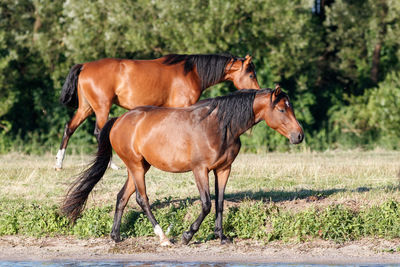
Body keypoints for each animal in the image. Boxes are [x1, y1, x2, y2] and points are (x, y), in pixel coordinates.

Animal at [57, 54, 262, 170]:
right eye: (251, 74)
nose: (258, 91)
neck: (191, 71)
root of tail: (85, 65)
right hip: (101, 107)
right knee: (99, 132)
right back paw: (111, 165)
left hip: (86, 107)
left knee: (69, 128)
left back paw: (59, 163)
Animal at [61, 86, 304, 247]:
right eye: (282, 110)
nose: (299, 136)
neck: (220, 125)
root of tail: (118, 121)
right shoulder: (200, 170)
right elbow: (206, 204)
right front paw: (188, 236)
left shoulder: (224, 169)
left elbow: (220, 203)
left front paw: (221, 236)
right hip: (137, 167)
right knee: (142, 199)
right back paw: (163, 237)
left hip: (138, 167)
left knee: (122, 197)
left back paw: (116, 236)